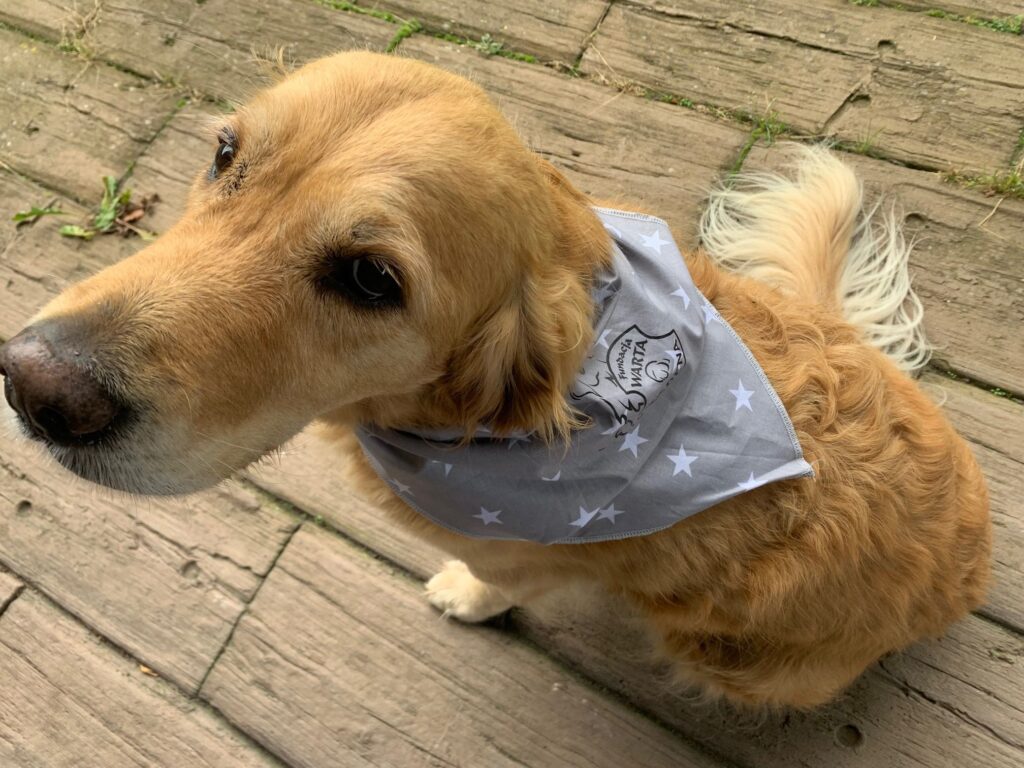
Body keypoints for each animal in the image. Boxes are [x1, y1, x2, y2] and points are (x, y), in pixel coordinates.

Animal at [0, 51, 991, 709]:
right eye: (224, 153)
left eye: (373, 279)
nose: (35, 387)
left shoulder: (531, 554)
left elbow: (499, 580)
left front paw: (465, 596)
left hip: (733, 659)